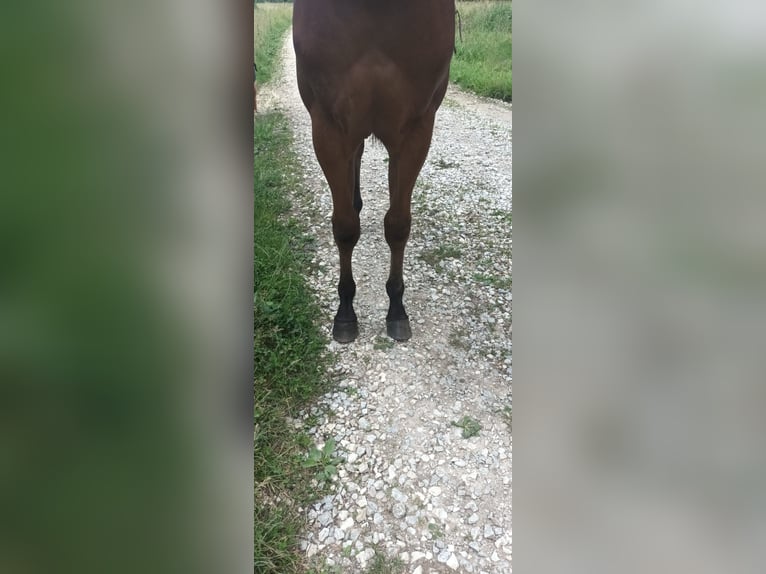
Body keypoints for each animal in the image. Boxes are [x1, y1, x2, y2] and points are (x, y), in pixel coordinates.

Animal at [294, 0, 456, 342]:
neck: (376, 9)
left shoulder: (415, 131)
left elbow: (398, 225)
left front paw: (397, 308)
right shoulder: (329, 129)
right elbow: (344, 227)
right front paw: (345, 313)